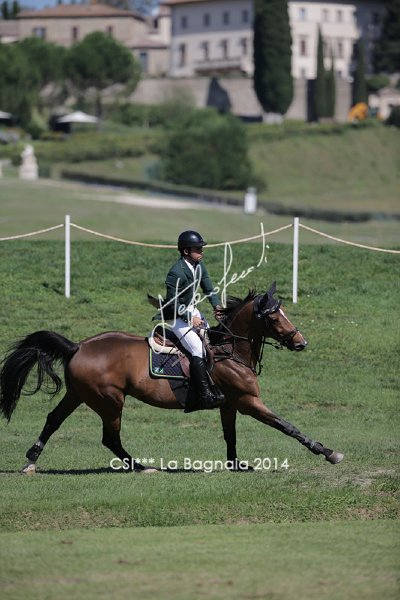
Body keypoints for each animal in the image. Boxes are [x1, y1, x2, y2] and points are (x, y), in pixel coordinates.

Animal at [0, 282, 344, 474]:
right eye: (273, 316)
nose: (301, 343)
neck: (230, 349)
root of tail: (79, 346)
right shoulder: (248, 401)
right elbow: (287, 426)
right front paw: (327, 452)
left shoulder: (230, 404)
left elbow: (230, 436)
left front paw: (235, 465)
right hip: (109, 401)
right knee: (110, 438)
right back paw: (141, 467)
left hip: (79, 395)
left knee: (53, 419)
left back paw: (31, 459)